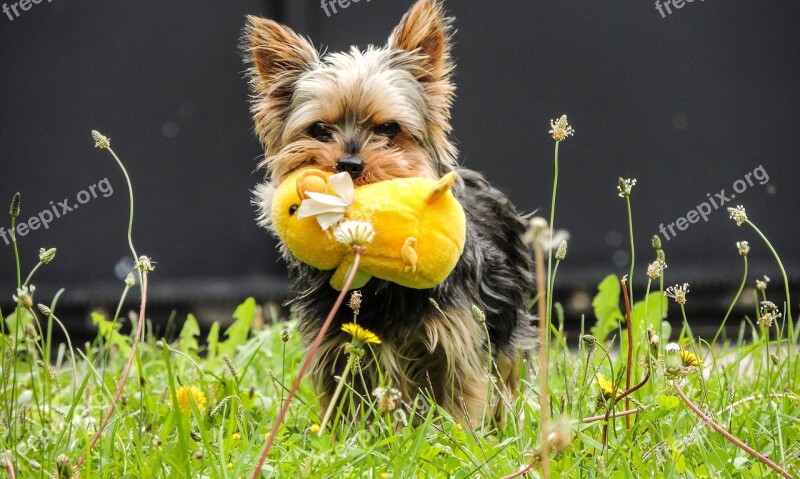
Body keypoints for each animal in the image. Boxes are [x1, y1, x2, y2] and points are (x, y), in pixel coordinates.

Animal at [244, 0, 532, 428]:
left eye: (389, 129)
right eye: (319, 130)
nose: (348, 163)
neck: (377, 280)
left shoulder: (455, 342)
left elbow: (459, 401)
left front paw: (457, 438)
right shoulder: (337, 345)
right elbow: (345, 405)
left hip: (508, 327)